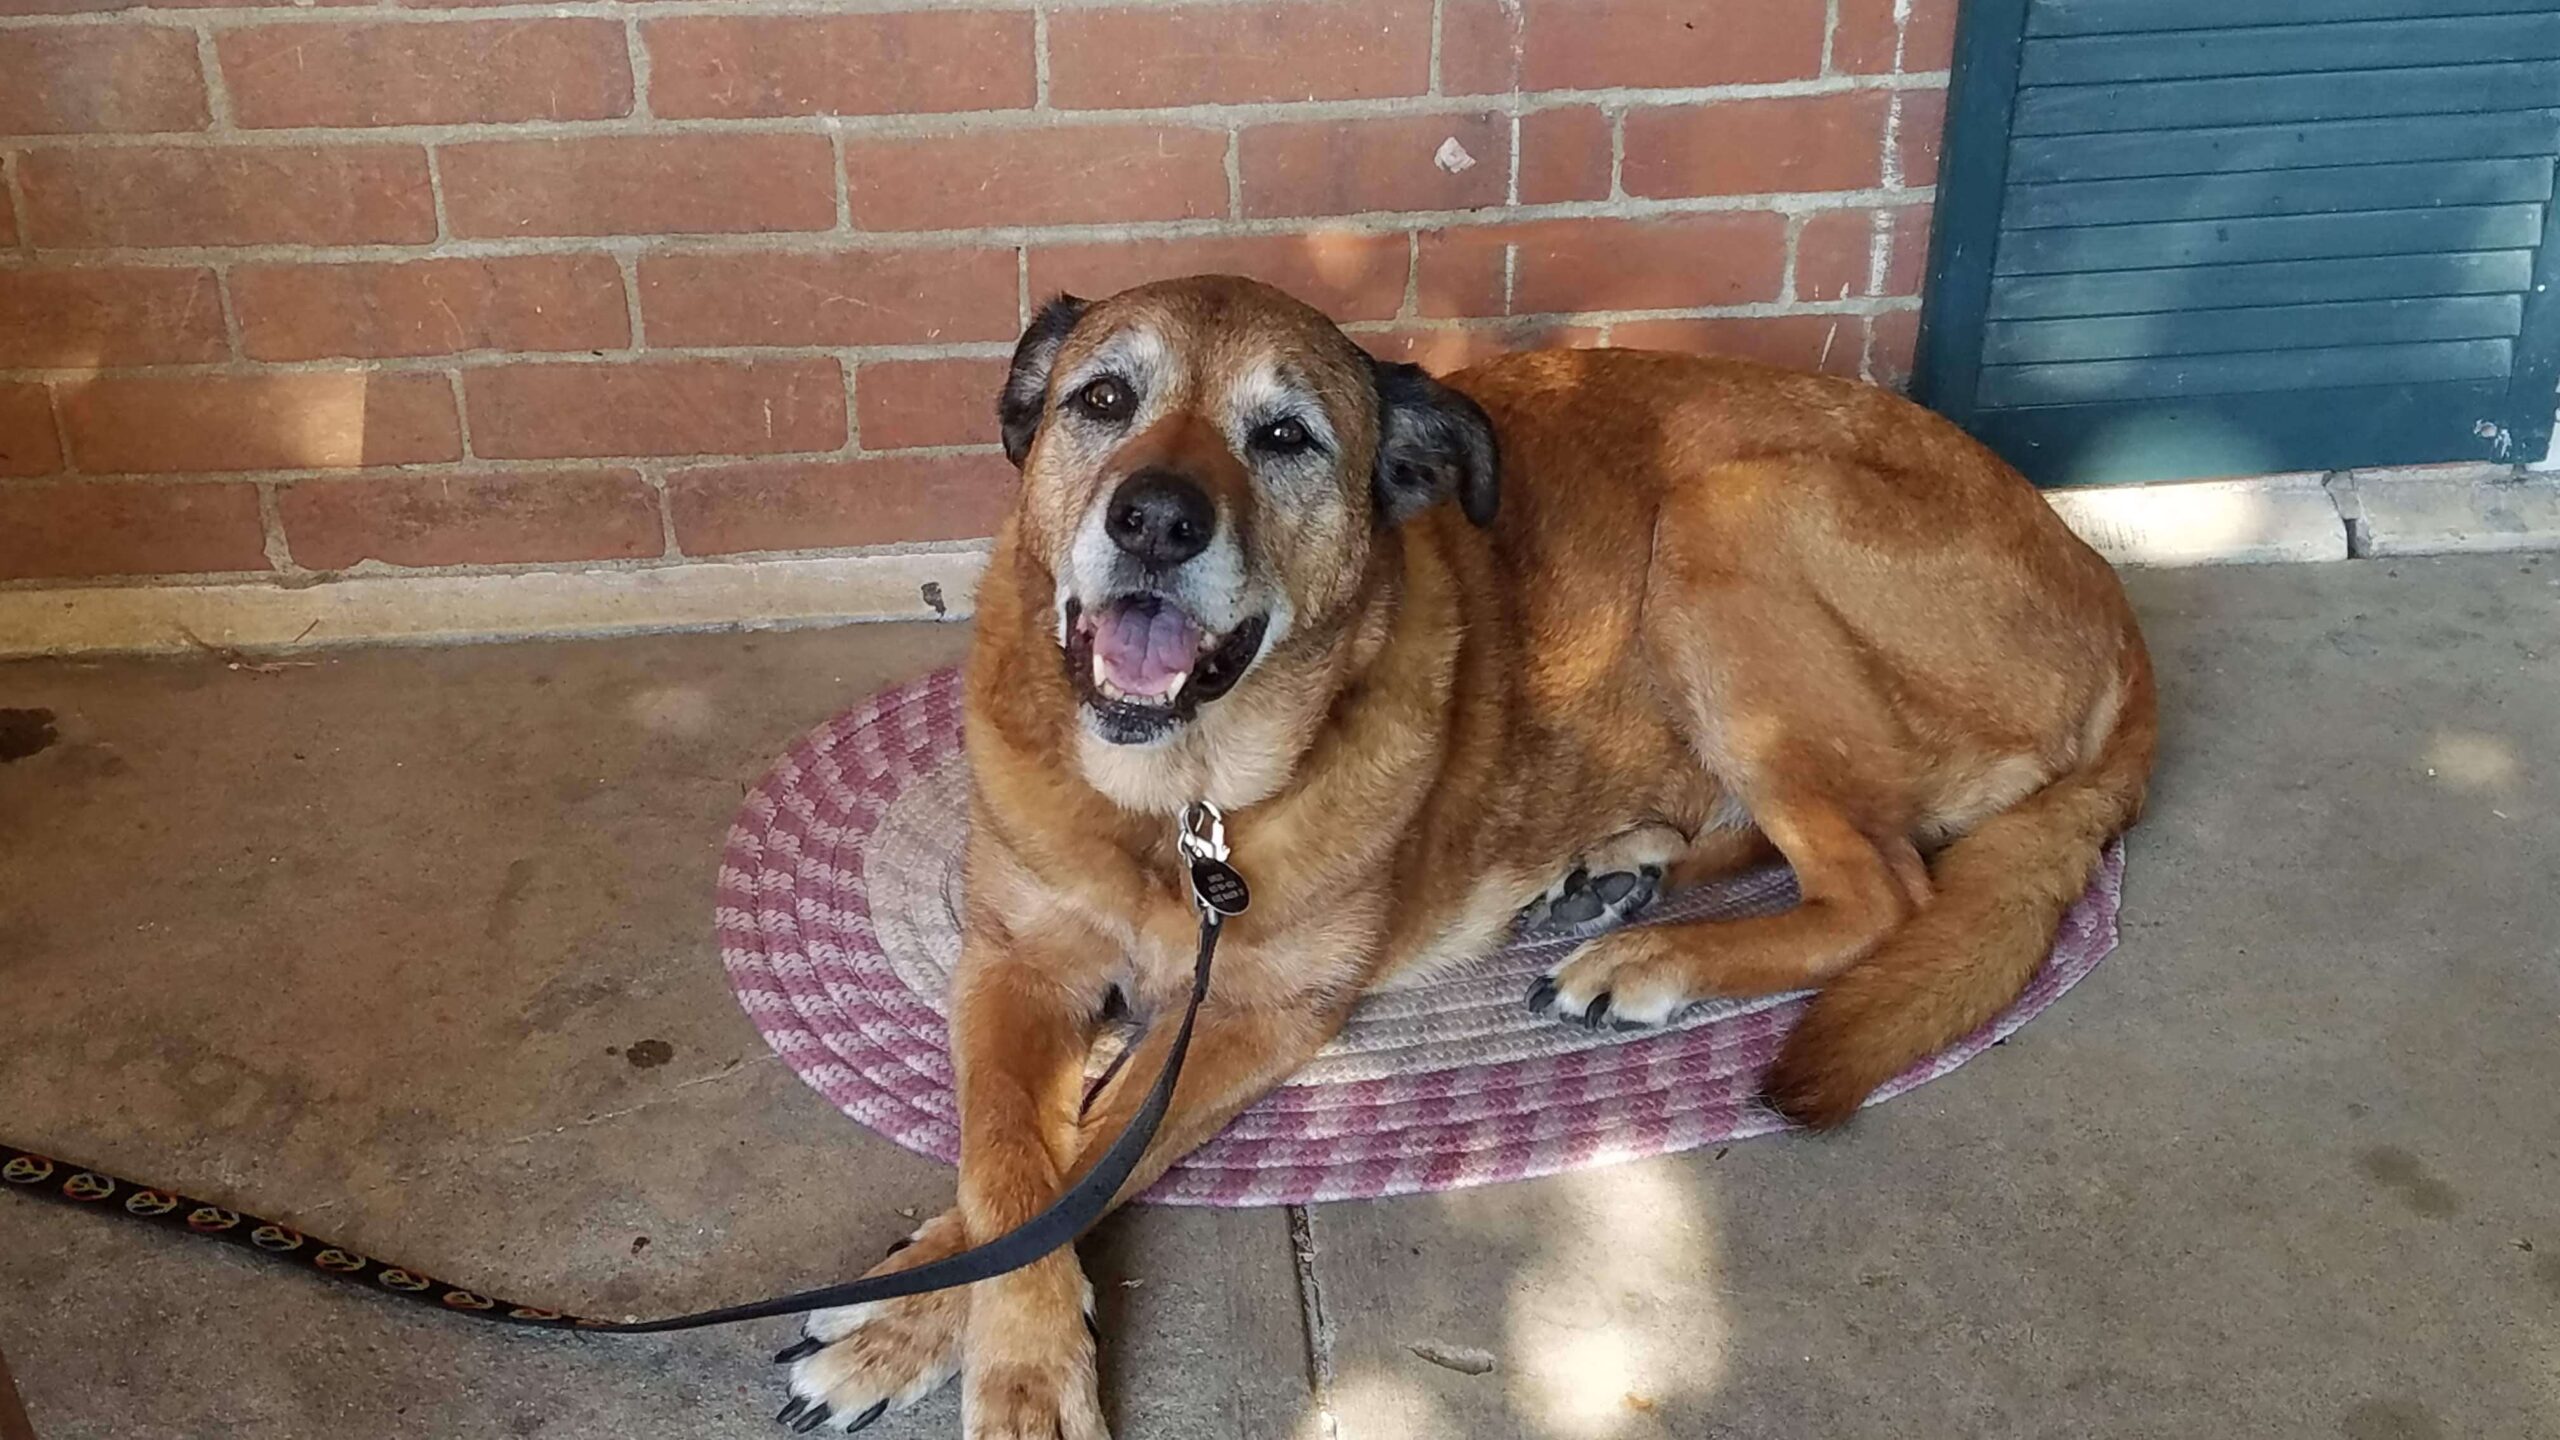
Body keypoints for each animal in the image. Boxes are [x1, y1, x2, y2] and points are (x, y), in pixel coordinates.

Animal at [768, 274, 2150, 1424]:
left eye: (1285, 438)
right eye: (1103, 399)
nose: (1155, 520)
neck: (1179, 799)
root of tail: (2113, 615)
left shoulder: (1257, 1014)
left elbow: (1085, 1159)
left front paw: (977, 1360)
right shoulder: (1012, 965)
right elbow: (1008, 1157)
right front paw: (924, 1305)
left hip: (1730, 516)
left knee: (1883, 887)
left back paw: (1652, 959)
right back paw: (1619, 869)